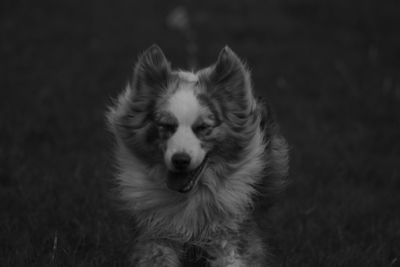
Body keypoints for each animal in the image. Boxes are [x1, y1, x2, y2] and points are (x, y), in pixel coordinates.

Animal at [106, 45, 288, 266]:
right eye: (166, 125)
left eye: (202, 127)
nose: (180, 160)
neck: (190, 195)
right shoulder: (156, 230)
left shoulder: (229, 229)